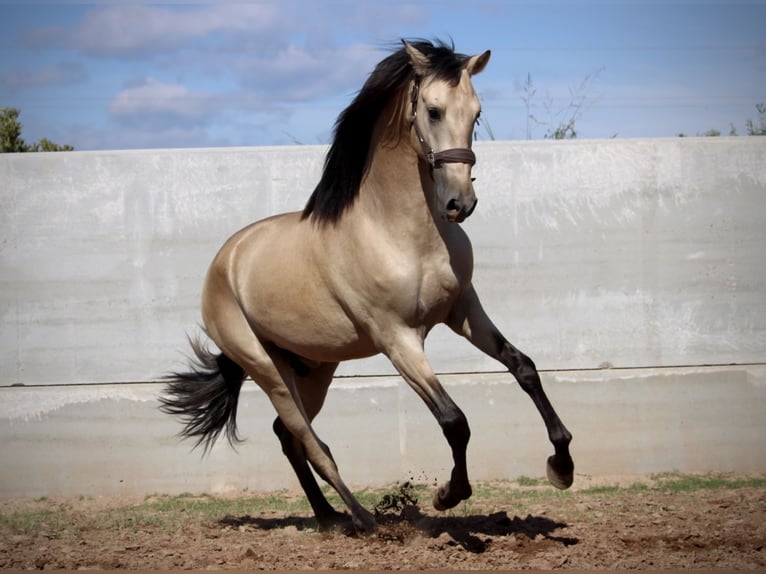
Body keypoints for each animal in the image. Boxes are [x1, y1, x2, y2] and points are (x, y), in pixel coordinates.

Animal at [162, 40, 572, 536]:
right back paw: (363, 520)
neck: (400, 232)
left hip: (313, 367)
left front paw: (561, 466)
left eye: (476, 114)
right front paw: (447, 495)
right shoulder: (397, 339)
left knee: (288, 436)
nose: (461, 203)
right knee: (310, 440)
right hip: (265, 368)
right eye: (433, 110)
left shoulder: (463, 311)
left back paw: (328, 516)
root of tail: (226, 260)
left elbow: (524, 368)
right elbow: (454, 420)